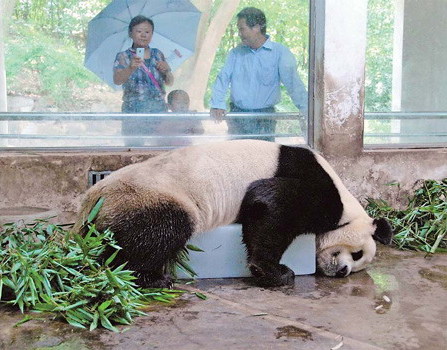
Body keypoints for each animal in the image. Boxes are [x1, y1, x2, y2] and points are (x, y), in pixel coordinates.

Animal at [73, 139, 392, 288]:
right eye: (357, 254)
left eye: (358, 263)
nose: (343, 272)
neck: (348, 209)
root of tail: (89, 203)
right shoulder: (314, 185)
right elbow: (271, 203)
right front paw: (277, 272)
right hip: (147, 196)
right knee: (158, 231)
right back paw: (149, 278)